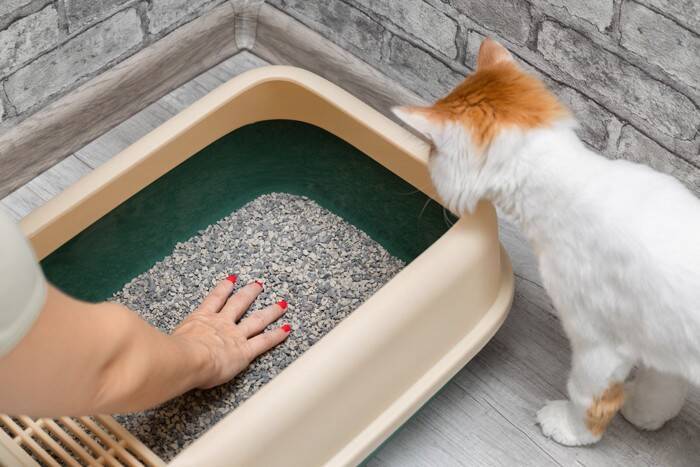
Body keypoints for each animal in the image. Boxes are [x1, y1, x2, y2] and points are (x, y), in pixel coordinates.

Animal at [392, 38, 700, 446]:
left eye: (432, 150)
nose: (426, 158)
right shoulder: (661, 337)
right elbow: (663, 386)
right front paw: (646, 414)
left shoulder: (598, 344)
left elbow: (587, 396)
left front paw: (571, 429)